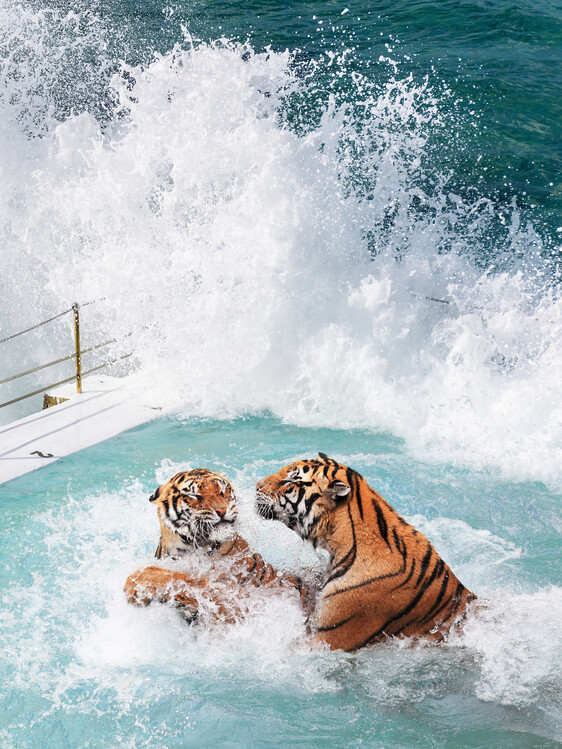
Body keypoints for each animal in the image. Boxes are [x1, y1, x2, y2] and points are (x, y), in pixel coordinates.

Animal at [124, 468, 311, 623]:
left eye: (223, 490)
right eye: (193, 495)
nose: (222, 510)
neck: (187, 549)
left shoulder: (234, 596)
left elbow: (186, 578)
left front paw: (134, 583)